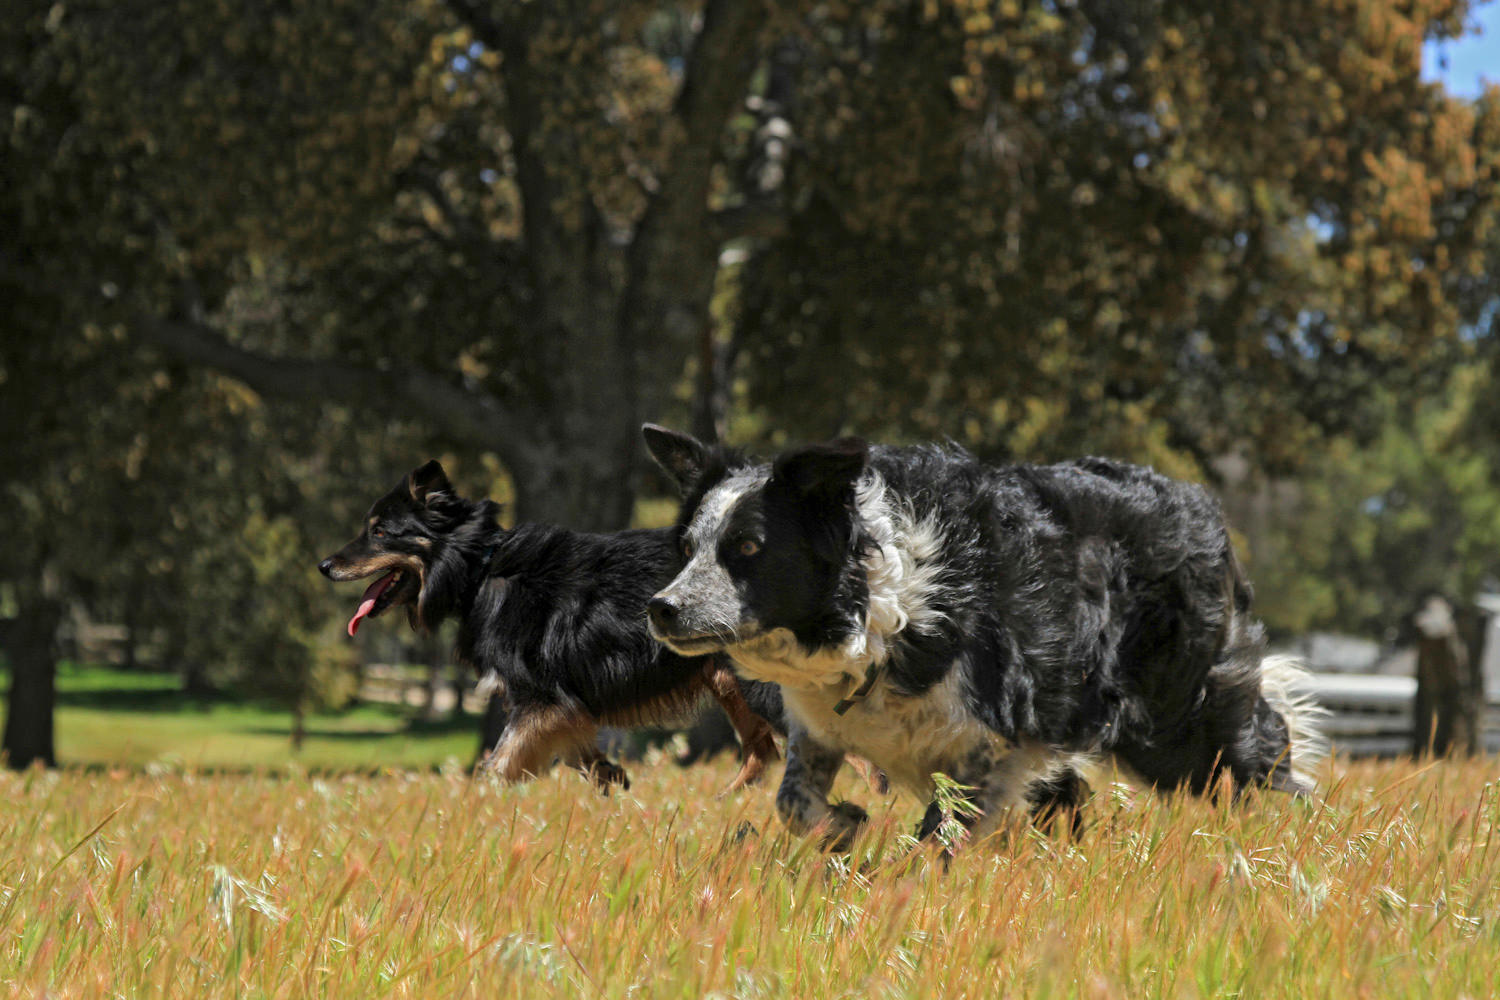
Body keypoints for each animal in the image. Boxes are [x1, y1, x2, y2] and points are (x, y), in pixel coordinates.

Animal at [321, 464, 780, 797]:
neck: (481, 567)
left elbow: (497, 764)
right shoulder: (561, 705)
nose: (323, 566)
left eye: (379, 531)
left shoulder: (539, 699)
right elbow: (582, 756)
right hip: (732, 683)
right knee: (762, 752)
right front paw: (614, 786)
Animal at [639, 425, 1320, 851]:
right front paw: (845, 825)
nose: (661, 609)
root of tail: (1198, 503)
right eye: (687, 547)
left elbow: (939, 833)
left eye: (749, 547)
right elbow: (792, 802)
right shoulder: (820, 730)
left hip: (1174, 723)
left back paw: (1292, 838)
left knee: (1262, 755)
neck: (881, 609)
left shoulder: (986, 742)